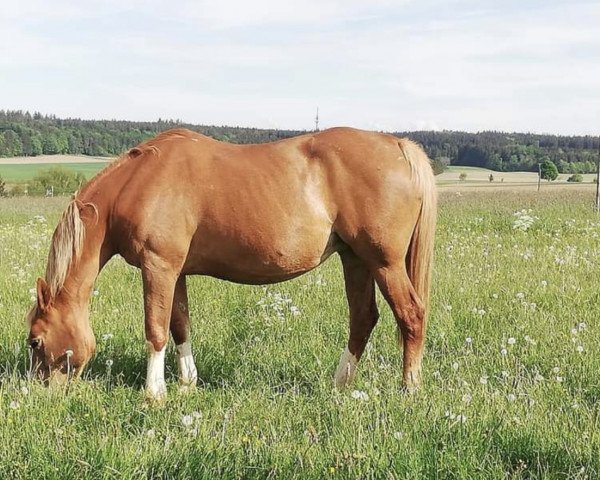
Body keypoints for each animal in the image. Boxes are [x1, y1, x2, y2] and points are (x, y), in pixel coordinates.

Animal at [27, 125, 436, 400]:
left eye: (34, 341)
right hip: (355, 259)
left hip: (384, 262)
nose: (39, 393)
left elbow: (156, 330)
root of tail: (398, 145)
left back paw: (410, 388)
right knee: (363, 318)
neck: (138, 183)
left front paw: (154, 393)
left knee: (411, 315)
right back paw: (340, 384)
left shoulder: (158, 266)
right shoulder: (176, 271)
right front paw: (187, 383)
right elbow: (180, 325)